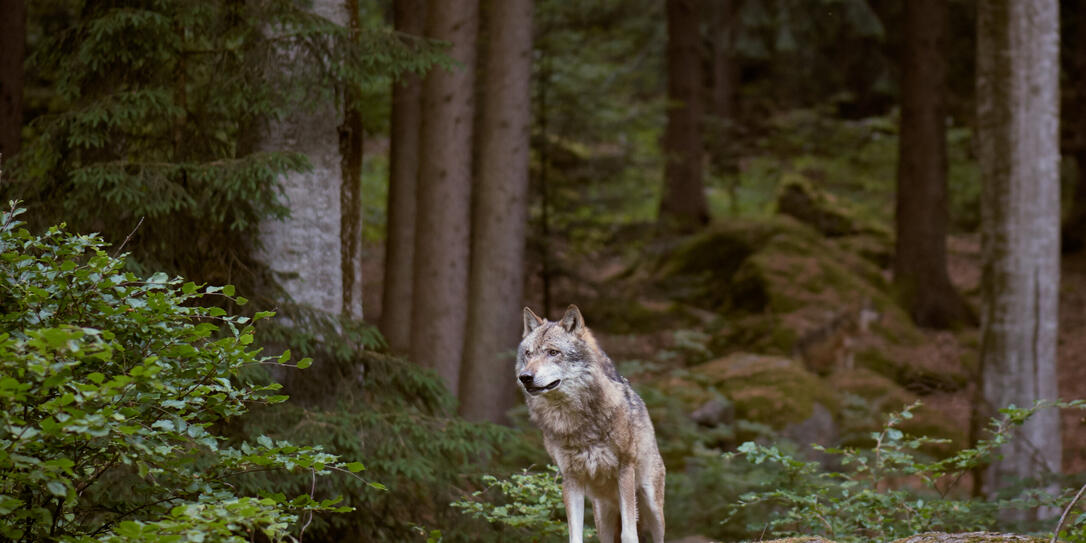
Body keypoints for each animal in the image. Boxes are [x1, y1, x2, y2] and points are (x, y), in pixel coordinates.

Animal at [514, 306, 660, 543]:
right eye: (528, 353)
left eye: (553, 352)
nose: (525, 377)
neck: (575, 420)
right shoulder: (570, 478)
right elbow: (575, 535)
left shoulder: (625, 469)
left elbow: (629, 534)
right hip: (603, 517)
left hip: (652, 508)